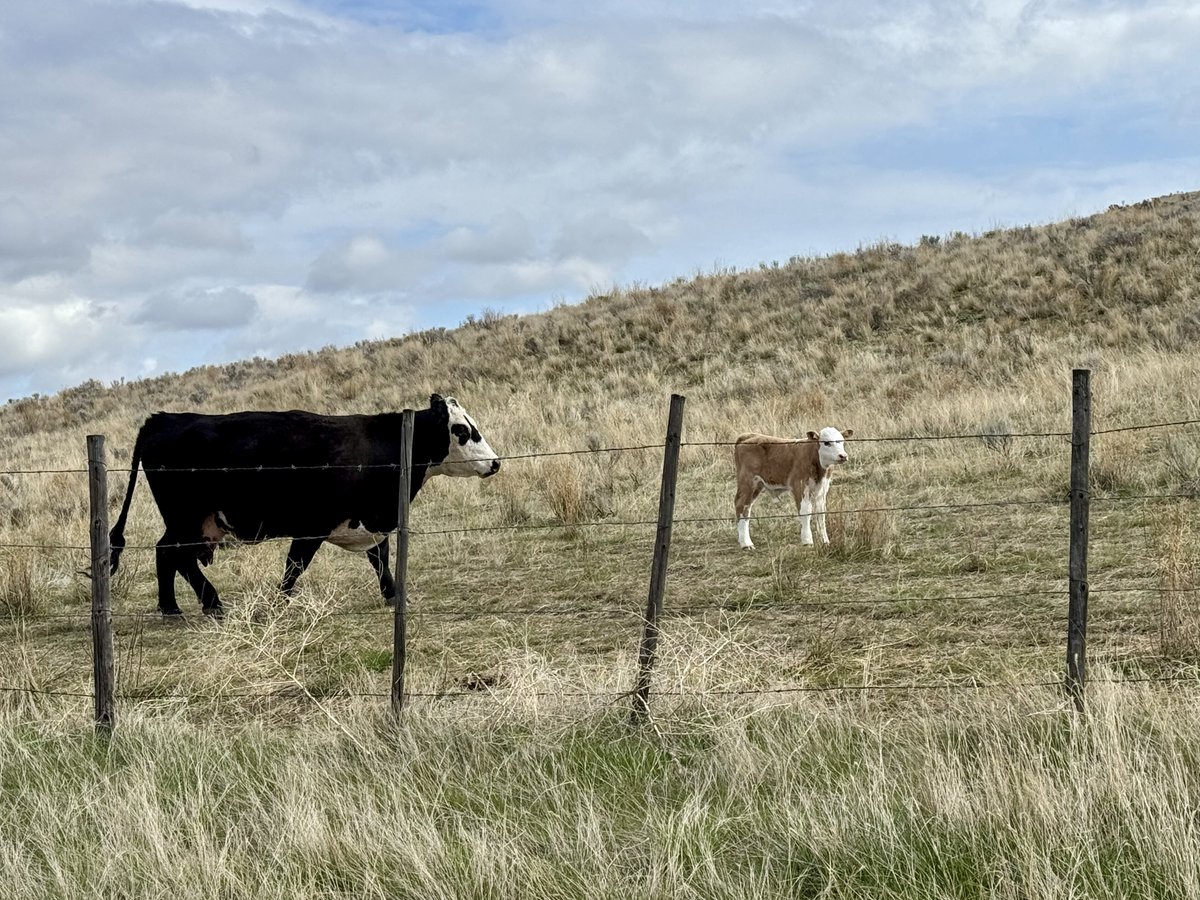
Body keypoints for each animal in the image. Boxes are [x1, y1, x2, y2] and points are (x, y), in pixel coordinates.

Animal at [108, 393, 500, 617]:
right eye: (462, 430)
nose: (495, 462)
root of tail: (162, 418)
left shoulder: (370, 522)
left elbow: (381, 560)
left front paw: (393, 595)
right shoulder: (312, 526)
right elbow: (295, 566)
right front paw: (280, 602)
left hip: (191, 520)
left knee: (170, 554)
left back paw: (176, 606)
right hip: (186, 517)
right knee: (172, 553)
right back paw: (204, 604)